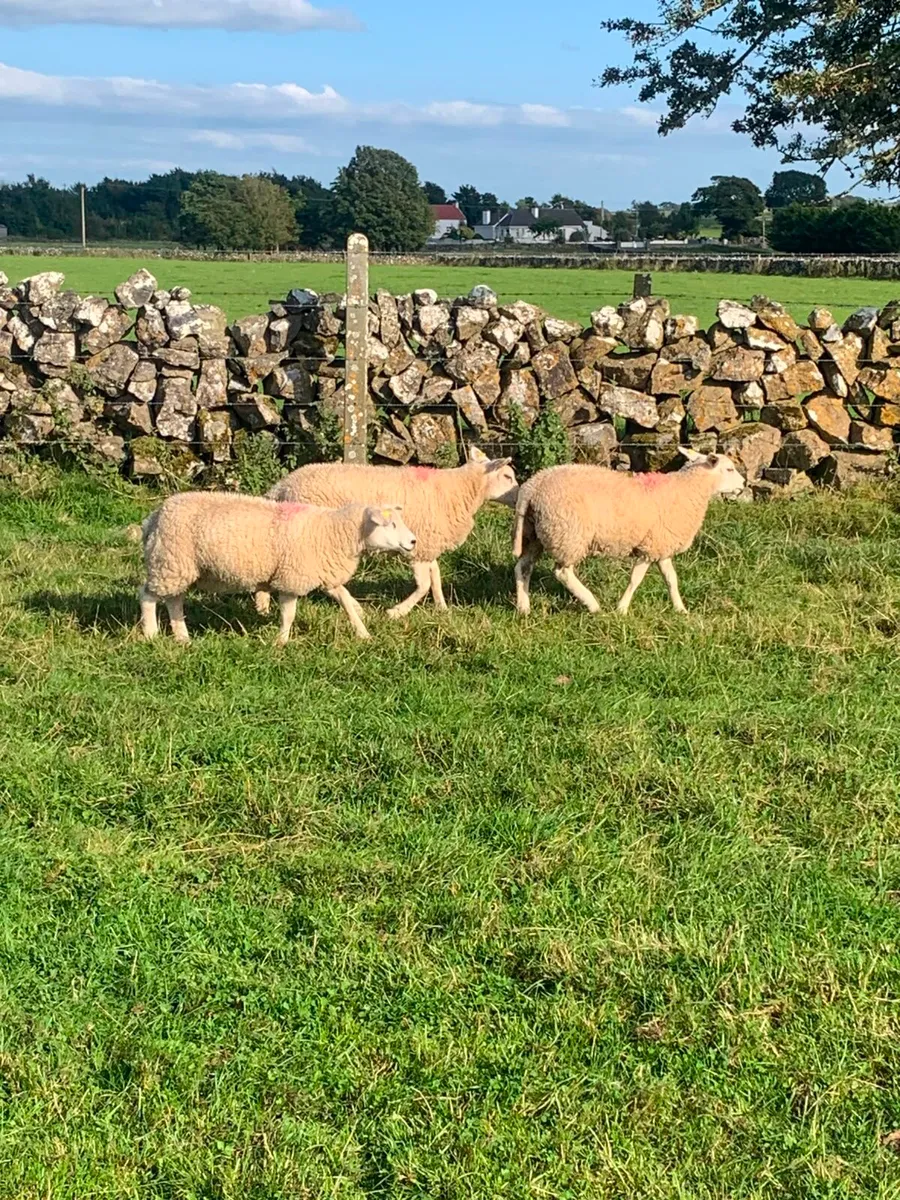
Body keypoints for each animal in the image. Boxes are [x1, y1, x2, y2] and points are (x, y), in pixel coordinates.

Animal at [139, 492, 416, 644]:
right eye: (390, 524)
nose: (413, 541)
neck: (330, 532)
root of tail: (155, 515)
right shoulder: (291, 578)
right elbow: (289, 614)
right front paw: (281, 641)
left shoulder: (326, 575)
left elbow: (347, 602)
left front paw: (363, 633)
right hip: (170, 562)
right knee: (147, 596)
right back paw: (152, 633)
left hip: (178, 567)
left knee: (174, 600)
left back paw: (182, 637)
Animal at [260, 449, 519, 619]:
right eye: (507, 476)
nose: (520, 496)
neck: (459, 490)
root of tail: (283, 486)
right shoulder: (419, 548)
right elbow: (424, 584)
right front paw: (397, 612)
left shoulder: (427, 545)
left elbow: (435, 576)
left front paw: (442, 608)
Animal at [512, 448, 745, 616]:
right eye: (729, 469)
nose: (743, 484)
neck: (688, 489)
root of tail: (532, 487)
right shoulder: (649, 549)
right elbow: (636, 579)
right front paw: (622, 609)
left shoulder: (660, 546)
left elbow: (671, 579)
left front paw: (680, 609)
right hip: (568, 534)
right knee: (562, 572)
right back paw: (593, 605)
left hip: (535, 534)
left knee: (523, 566)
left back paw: (524, 608)